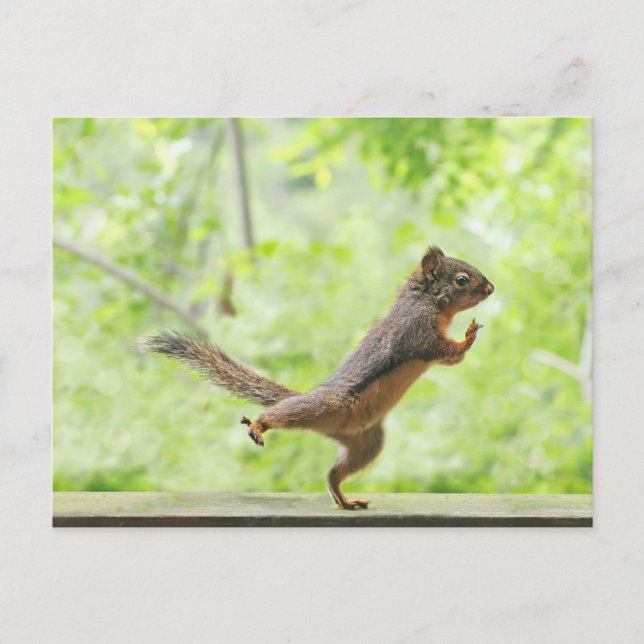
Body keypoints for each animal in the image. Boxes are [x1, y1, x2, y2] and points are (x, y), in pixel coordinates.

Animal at [144, 246, 494, 510]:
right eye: (462, 280)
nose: (490, 288)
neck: (426, 300)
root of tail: (332, 425)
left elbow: (451, 359)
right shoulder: (417, 331)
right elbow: (443, 349)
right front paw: (467, 337)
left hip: (366, 442)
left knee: (332, 475)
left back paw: (344, 499)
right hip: (321, 407)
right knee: (280, 414)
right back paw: (260, 424)